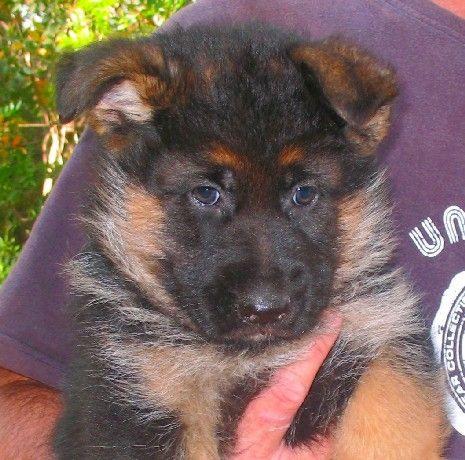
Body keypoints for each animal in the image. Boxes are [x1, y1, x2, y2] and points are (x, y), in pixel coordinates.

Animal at [54, 24, 450, 456]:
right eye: (206, 193)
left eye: (304, 193)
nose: (265, 311)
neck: (250, 354)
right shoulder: (140, 397)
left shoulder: (380, 337)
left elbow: (390, 416)